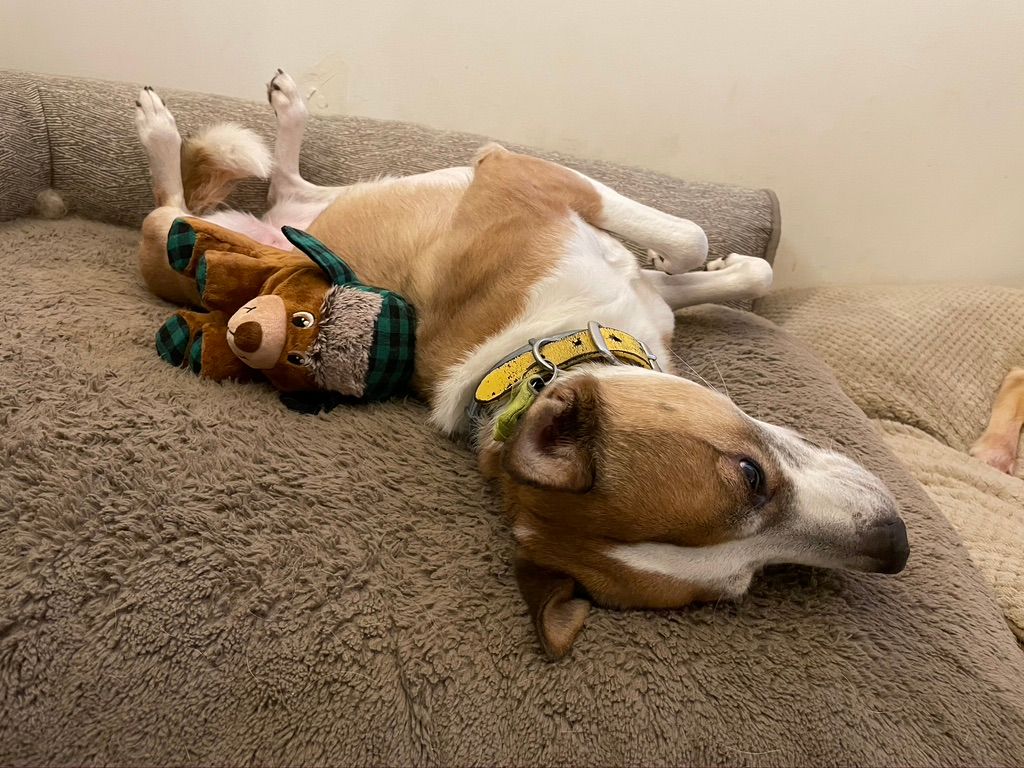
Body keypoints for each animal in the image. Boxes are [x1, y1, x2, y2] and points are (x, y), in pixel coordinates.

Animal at [132, 72, 909, 663]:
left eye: (746, 582)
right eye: (750, 477)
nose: (897, 547)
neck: (549, 345)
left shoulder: (619, 269)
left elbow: (722, 265)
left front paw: (710, 265)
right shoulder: (524, 172)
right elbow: (692, 232)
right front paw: (689, 254)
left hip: (283, 218)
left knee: (284, 179)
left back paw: (286, 116)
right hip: (172, 239)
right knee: (172, 201)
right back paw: (159, 128)